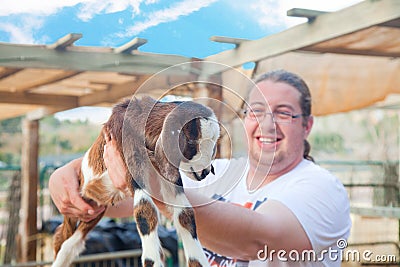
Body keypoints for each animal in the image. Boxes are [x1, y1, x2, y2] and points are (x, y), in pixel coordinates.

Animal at [51, 97, 220, 267]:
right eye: (191, 141)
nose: (205, 172)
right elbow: (144, 210)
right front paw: (152, 261)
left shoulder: (166, 174)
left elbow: (185, 214)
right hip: (75, 208)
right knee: (61, 238)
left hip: (94, 211)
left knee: (73, 242)